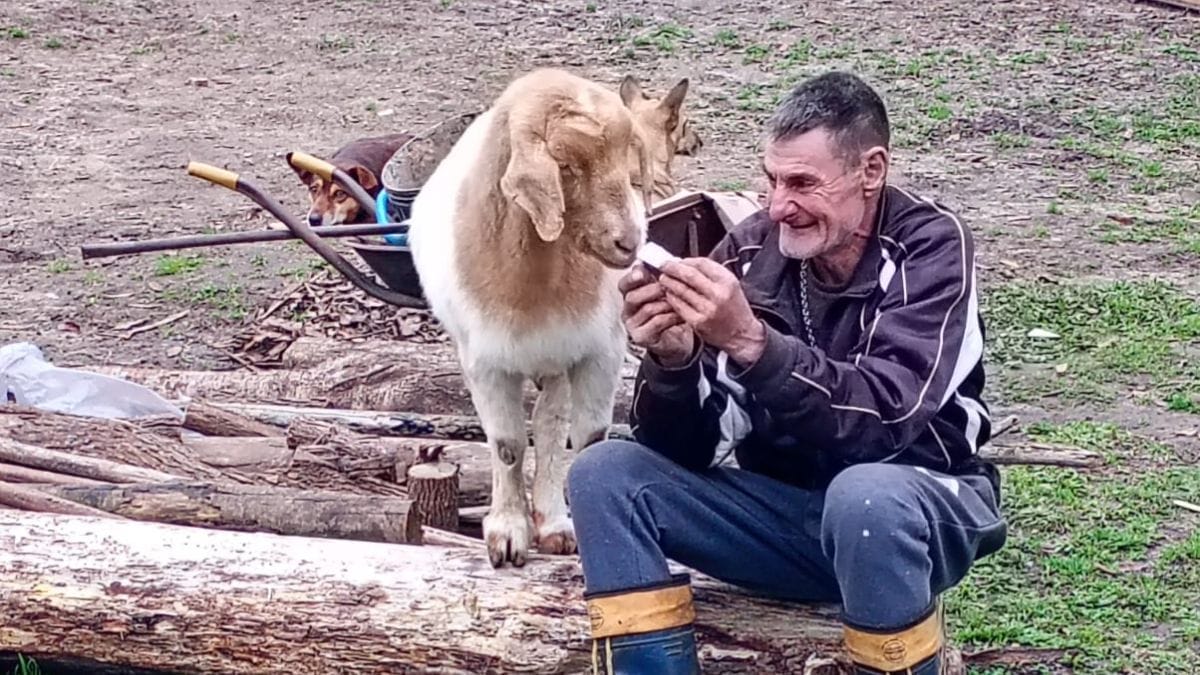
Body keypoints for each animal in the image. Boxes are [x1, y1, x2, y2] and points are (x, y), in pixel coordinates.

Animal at [406, 68, 658, 567]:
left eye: (628, 164)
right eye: (565, 165)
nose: (628, 242)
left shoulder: (600, 350)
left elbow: (587, 438)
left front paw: (565, 524)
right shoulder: (484, 362)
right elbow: (507, 445)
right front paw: (507, 535)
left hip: (559, 356)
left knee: (551, 422)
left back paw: (554, 521)